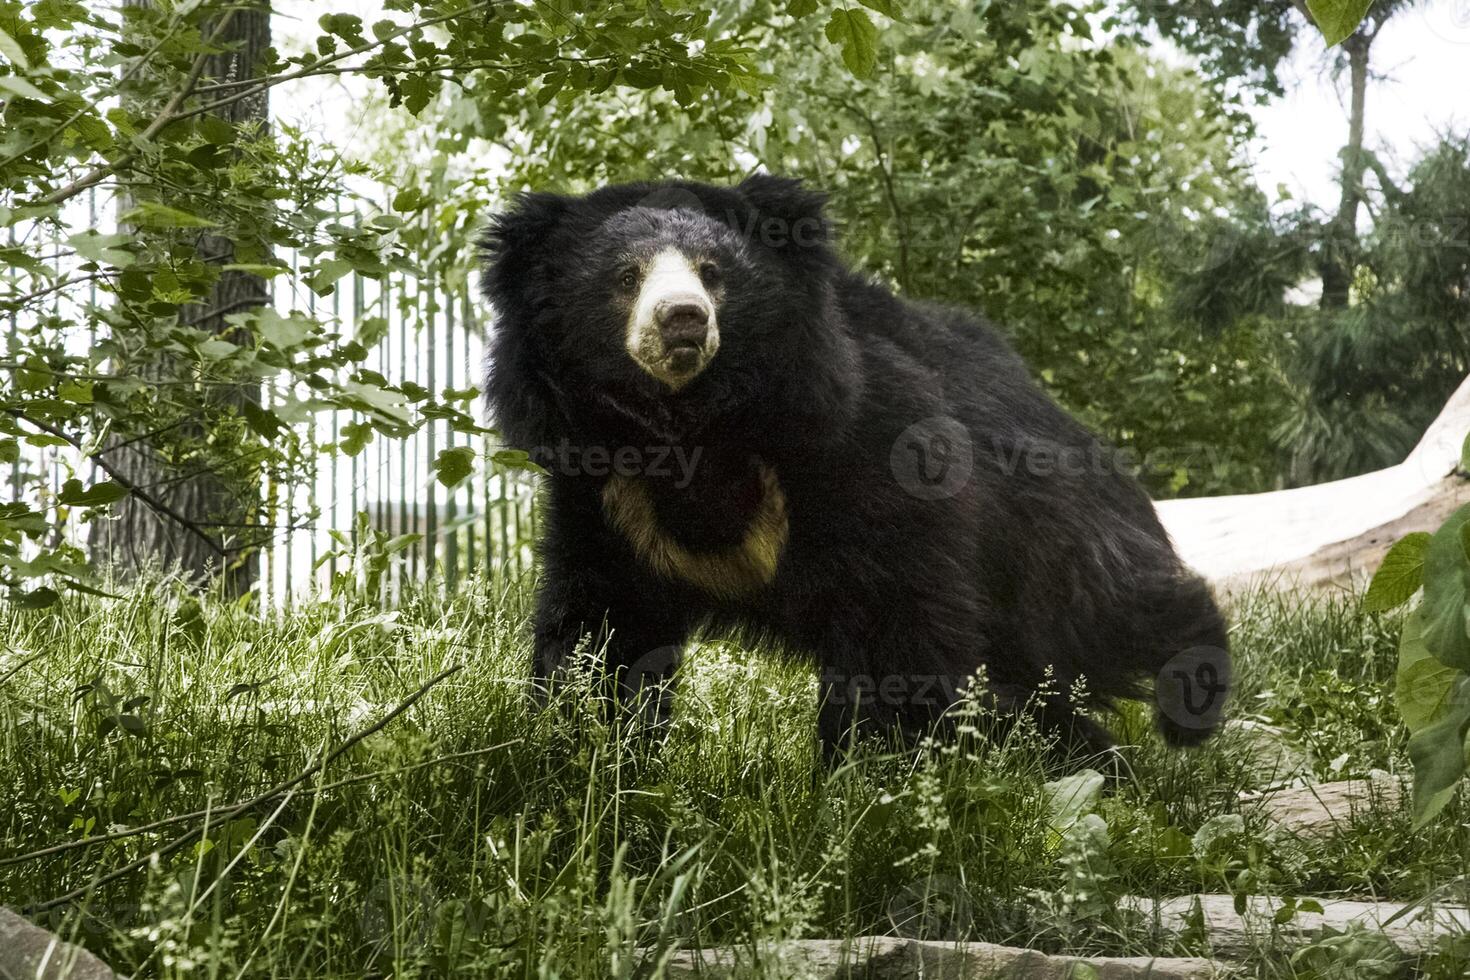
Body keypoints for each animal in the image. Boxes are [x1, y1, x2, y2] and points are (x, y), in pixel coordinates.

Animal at [482, 178, 1228, 758]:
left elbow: (892, 624)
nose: (683, 322)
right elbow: (604, 628)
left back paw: (1190, 701)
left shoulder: (874, 448)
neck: (695, 429)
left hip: (1045, 529)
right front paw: (579, 747)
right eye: (624, 277)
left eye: (713, 271)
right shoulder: (607, 492)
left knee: (1105, 610)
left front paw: (868, 780)